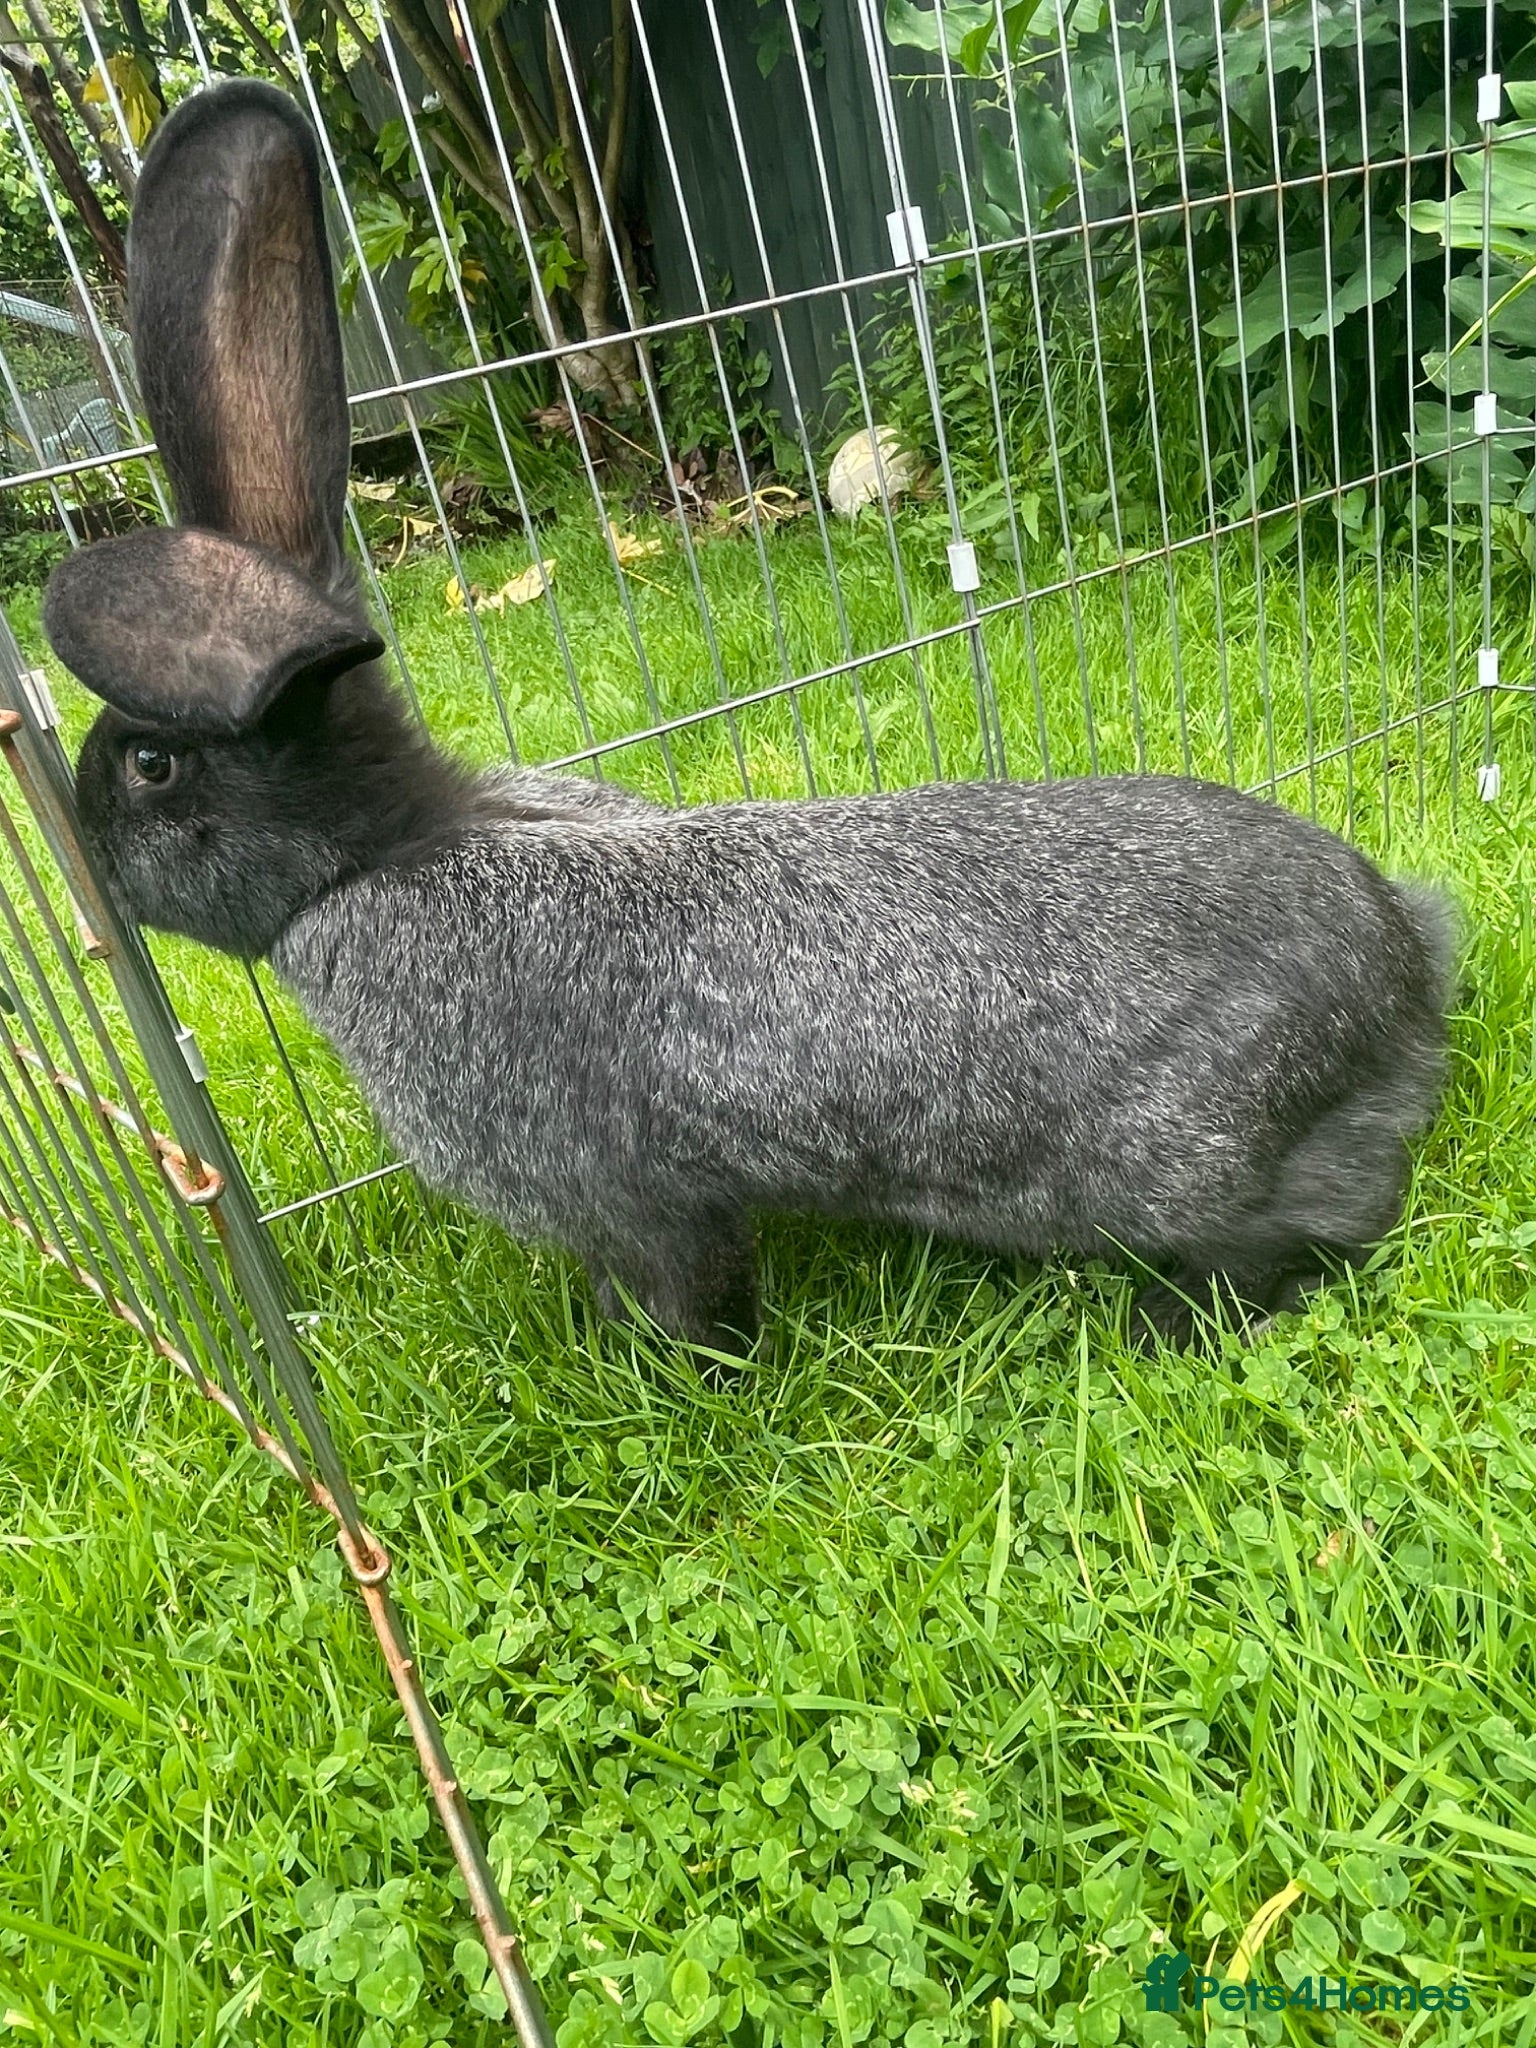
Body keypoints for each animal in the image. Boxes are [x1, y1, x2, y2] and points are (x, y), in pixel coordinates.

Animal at [46, 80, 1454, 1357]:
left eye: (152, 763)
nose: (83, 844)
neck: (382, 847)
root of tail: (1404, 973)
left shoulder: (640, 1200)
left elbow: (687, 1282)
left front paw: (656, 1359)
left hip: (1192, 1163)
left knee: (1306, 1235)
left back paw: (1172, 1320)